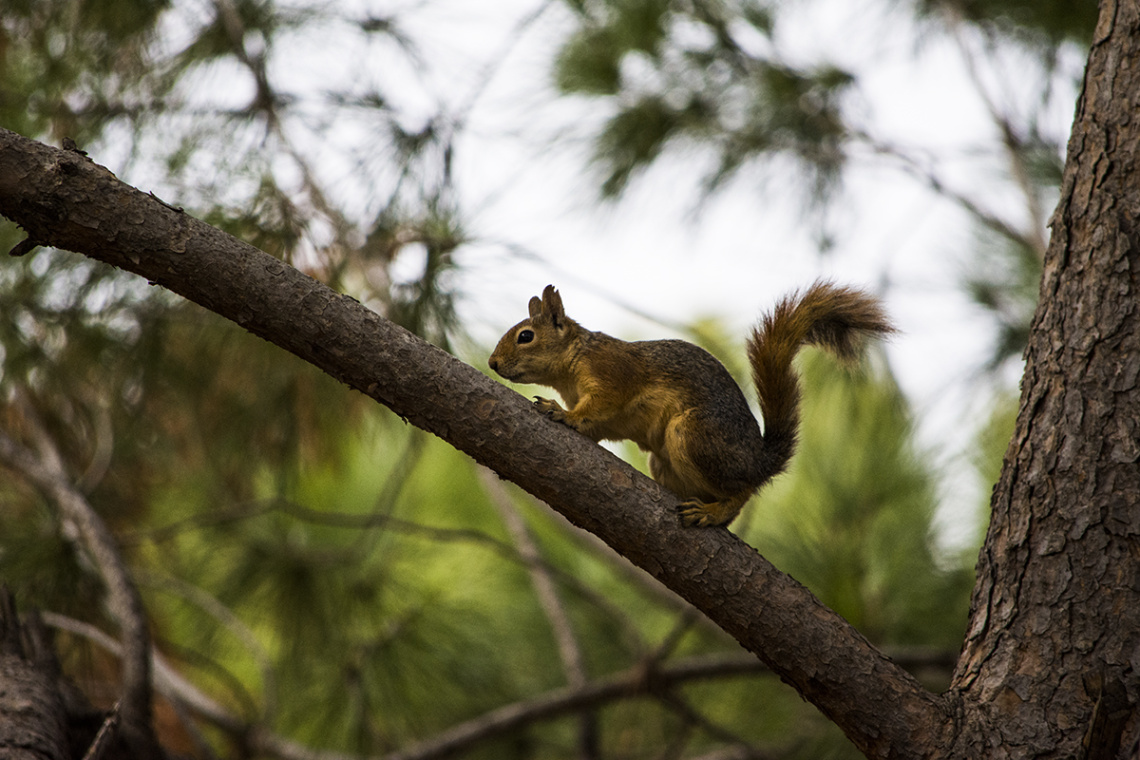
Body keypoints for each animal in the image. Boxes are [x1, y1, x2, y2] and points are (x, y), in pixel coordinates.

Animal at [485, 282, 893, 526]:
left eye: (525, 336)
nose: (492, 363)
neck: (573, 362)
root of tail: (760, 461)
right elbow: (595, 427)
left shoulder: (613, 374)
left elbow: (597, 405)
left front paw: (559, 411)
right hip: (665, 460)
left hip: (693, 434)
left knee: (741, 492)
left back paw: (713, 512)